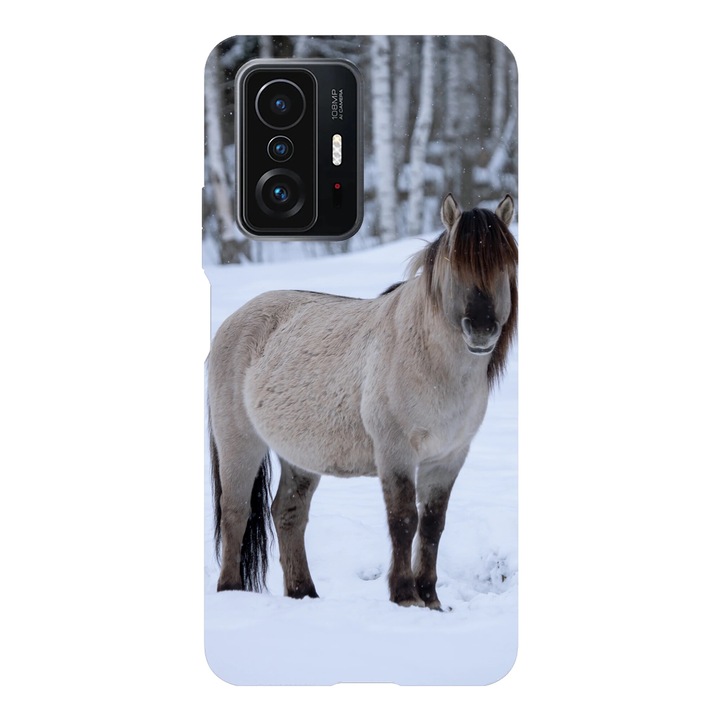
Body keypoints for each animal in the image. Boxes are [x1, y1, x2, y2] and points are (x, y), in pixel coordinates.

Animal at [207, 193, 518, 608]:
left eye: (504, 264)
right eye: (456, 265)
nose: (482, 329)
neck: (430, 362)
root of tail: (234, 321)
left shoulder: (448, 459)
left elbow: (432, 525)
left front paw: (432, 600)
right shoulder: (395, 452)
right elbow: (403, 520)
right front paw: (405, 596)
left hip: (300, 456)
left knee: (288, 513)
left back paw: (304, 593)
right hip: (239, 442)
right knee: (235, 512)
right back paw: (231, 590)